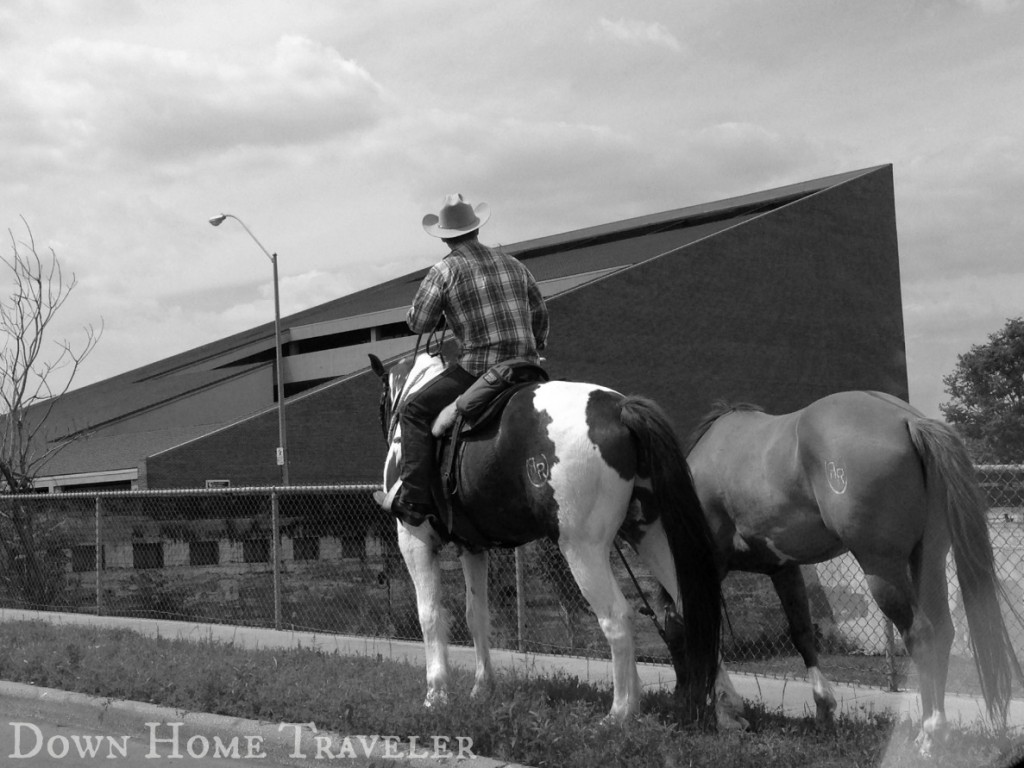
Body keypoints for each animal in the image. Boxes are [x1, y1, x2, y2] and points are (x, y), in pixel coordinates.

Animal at [368, 352, 720, 724]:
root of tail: (619, 409)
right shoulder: (473, 548)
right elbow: (476, 615)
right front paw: (481, 689)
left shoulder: (414, 538)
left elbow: (430, 614)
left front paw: (436, 696)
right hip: (649, 534)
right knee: (692, 607)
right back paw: (722, 706)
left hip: (582, 548)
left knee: (617, 617)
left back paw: (620, 713)